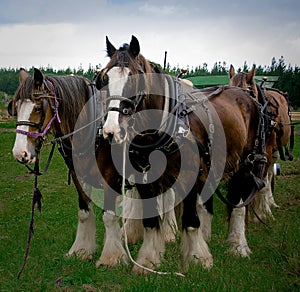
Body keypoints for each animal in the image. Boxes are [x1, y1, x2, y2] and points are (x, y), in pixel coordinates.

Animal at [96, 36, 270, 274]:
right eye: (104, 79)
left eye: (133, 79)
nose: (111, 131)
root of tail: (245, 94)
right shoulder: (145, 178)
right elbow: (150, 221)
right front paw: (148, 260)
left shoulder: (190, 176)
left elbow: (190, 219)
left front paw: (198, 258)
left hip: (246, 164)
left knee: (238, 204)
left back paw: (238, 245)